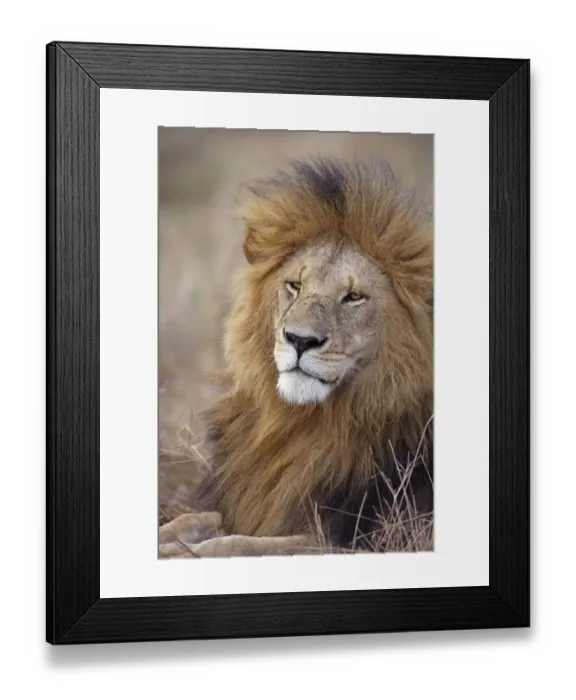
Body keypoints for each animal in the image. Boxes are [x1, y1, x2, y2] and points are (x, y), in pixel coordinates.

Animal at [160, 157, 434, 558]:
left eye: (353, 297)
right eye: (295, 286)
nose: (300, 340)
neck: (304, 424)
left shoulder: (361, 541)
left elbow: (237, 545)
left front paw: (181, 553)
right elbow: (193, 521)